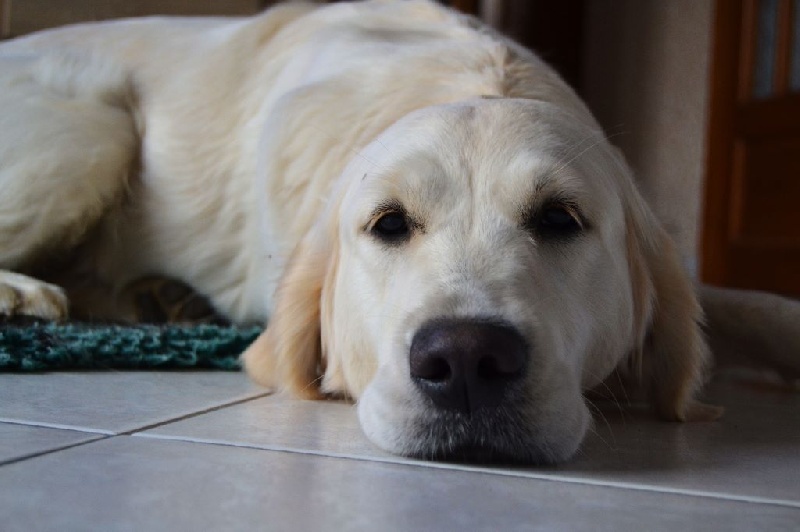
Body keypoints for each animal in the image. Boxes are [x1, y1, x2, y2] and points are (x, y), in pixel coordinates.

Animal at [1, 0, 800, 464]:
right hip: (98, 130)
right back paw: (32, 297)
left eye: (559, 219)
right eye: (388, 223)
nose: (467, 359)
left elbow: (762, 306)